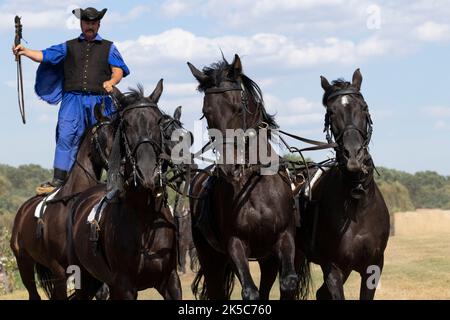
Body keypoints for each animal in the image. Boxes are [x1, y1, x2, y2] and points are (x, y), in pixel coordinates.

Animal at [69, 80, 185, 300]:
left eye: (158, 121)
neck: (146, 221)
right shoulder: (124, 287)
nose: (147, 173)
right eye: (126, 124)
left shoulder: (171, 281)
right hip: (85, 280)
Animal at [186, 54, 310, 300]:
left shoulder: (284, 238)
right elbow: (250, 292)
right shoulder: (235, 245)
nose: (229, 167)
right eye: (207, 113)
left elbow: (288, 281)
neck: (254, 186)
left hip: (266, 259)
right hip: (211, 260)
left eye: (237, 108)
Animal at [298, 68, 388, 300]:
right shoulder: (333, 268)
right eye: (331, 112)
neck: (357, 204)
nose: (353, 156)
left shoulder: (372, 267)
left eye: (363, 107)